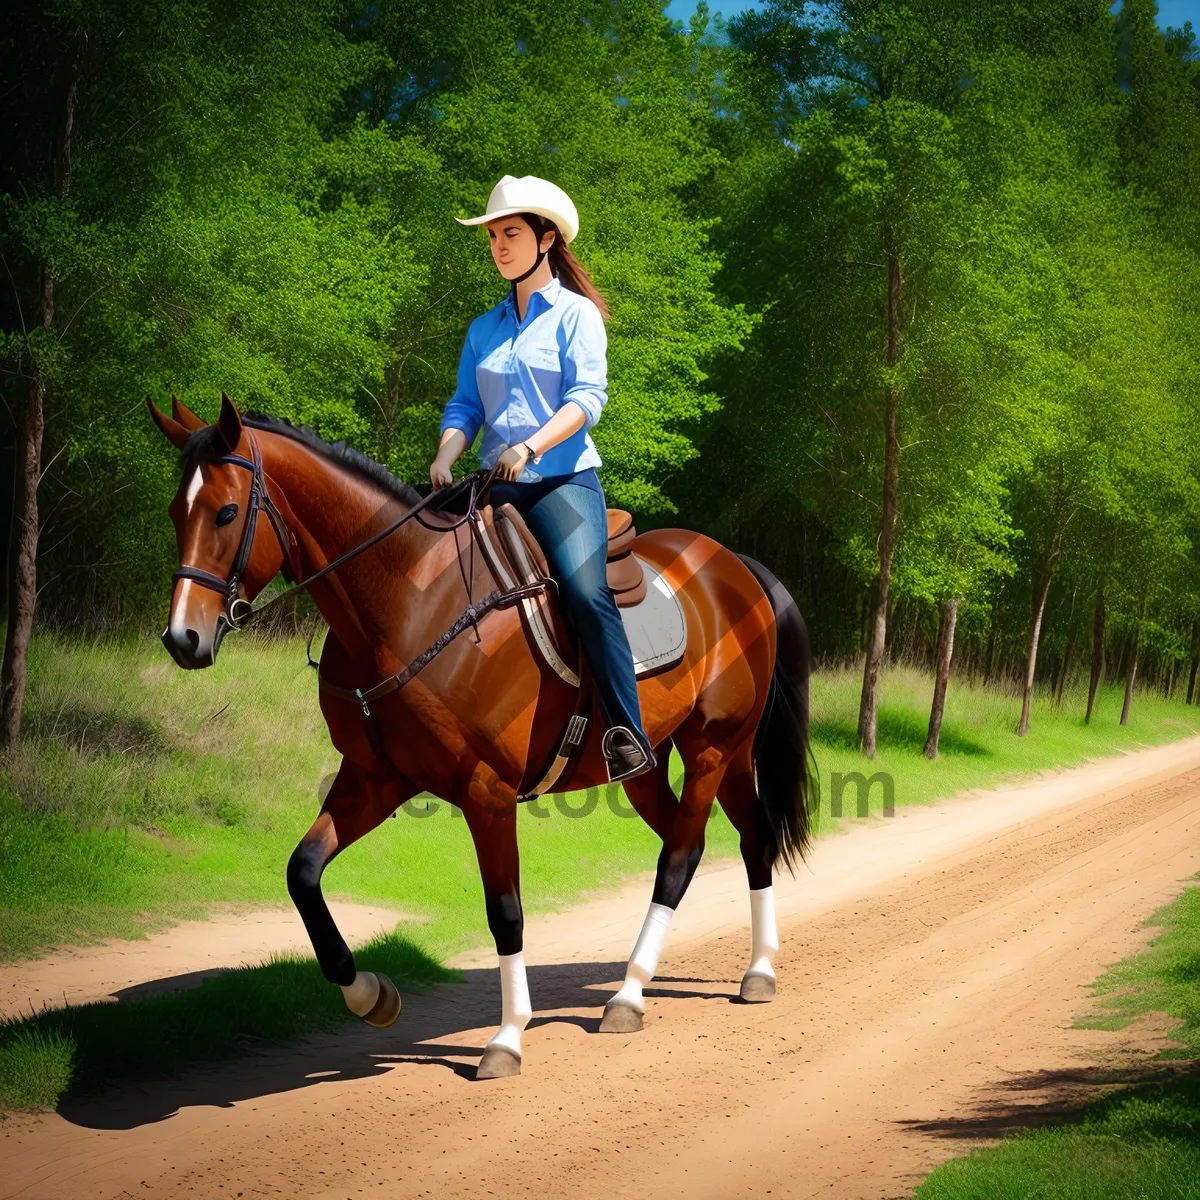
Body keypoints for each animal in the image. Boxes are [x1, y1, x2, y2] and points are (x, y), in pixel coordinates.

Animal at [150, 393, 816, 1080]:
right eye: (176, 510)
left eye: (227, 511)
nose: (182, 638)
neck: (410, 604)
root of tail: (735, 566)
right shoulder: (374, 778)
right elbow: (302, 873)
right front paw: (370, 995)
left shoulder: (487, 791)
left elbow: (505, 910)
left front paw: (507, 1037)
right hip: (661, 762)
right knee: (744, 839)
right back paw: (754, 970)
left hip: (716, 746)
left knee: (682, 857)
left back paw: (632, 995)